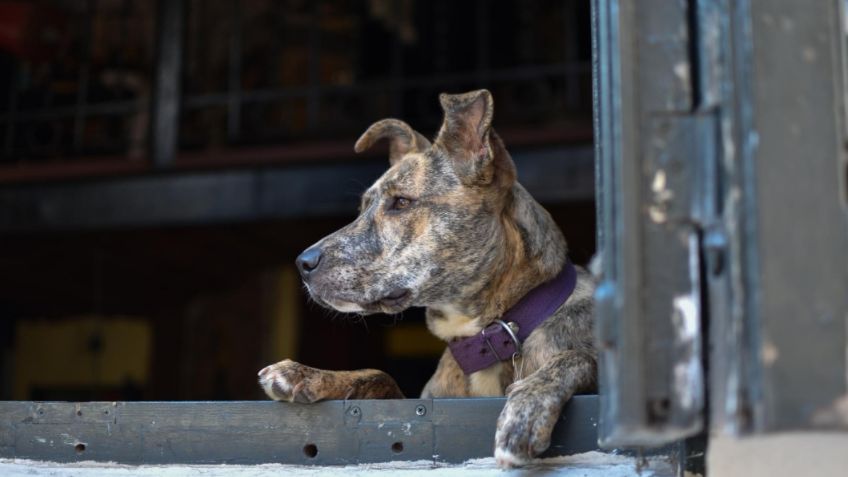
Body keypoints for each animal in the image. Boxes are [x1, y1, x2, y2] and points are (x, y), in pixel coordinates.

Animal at [258, 88, 596, 464]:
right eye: (363, 208)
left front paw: (525, 411)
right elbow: (379, 374)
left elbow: (575, 358)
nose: (303, 263)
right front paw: (306, 374)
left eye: (402, 203)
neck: (487, 337)